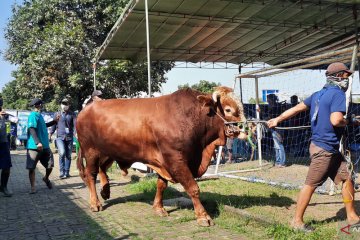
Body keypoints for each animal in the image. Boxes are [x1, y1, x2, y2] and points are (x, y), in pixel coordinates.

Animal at [77, 86, 248, 227]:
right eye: (228, 110)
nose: (244, 128)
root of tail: (85, 110)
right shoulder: (175, 159)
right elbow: (193, 188)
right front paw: (203, 216)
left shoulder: (164, 162)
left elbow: (161, 185)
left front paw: (158, 208)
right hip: (91, 152)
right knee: (91, 175)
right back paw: (95, 203)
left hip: (109, 152)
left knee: (102, 169)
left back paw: (105, 191)